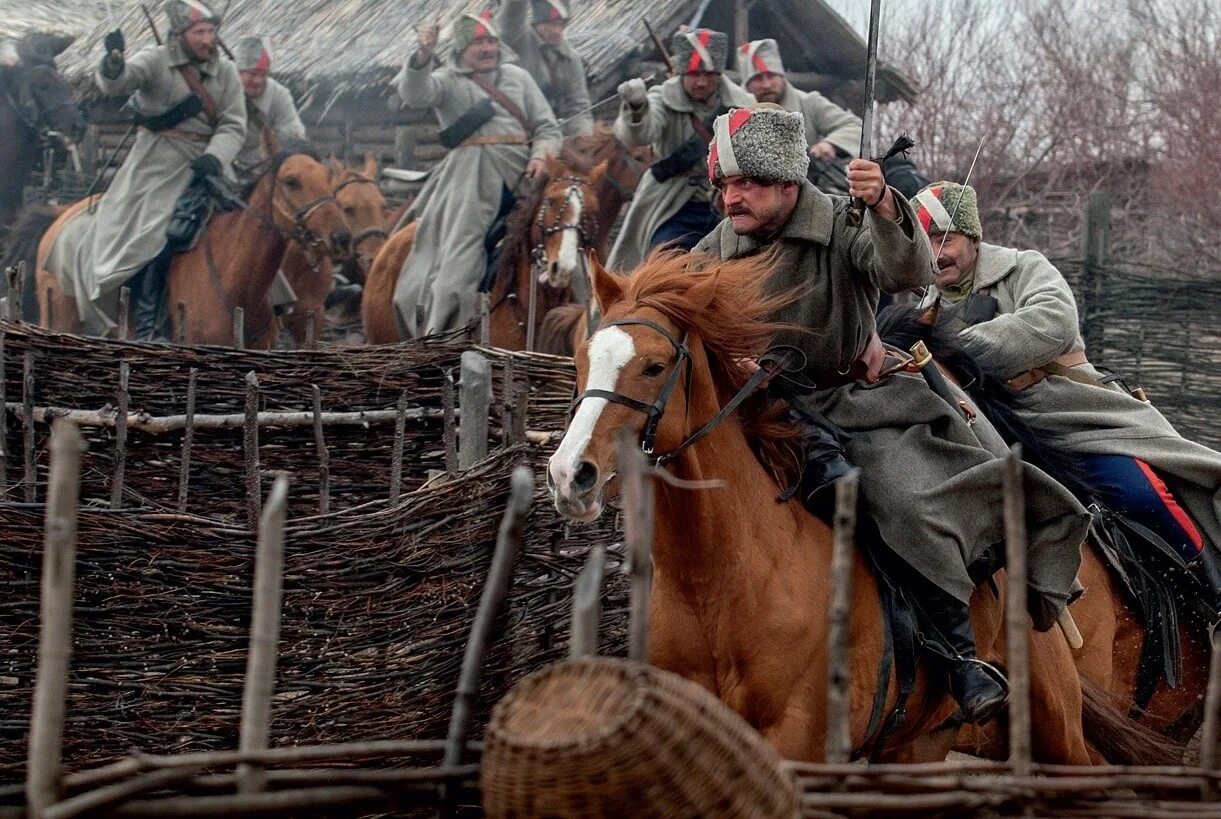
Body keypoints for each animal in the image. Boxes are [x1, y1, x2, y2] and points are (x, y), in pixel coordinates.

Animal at [547, 251, 1172, 771]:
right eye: (580, 359)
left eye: (653, 366)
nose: (569, 474)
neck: (722, 578)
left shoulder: (797, 740)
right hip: (918, 745)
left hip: (1054, 723)